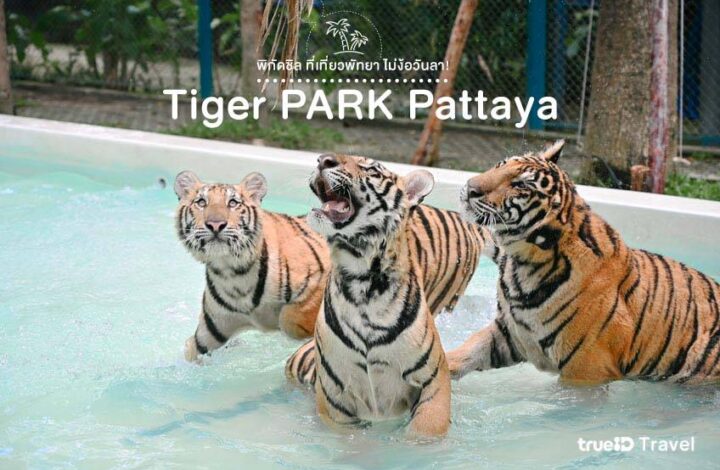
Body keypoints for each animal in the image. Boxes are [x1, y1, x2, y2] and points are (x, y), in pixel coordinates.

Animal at [174, 170, 330, 361]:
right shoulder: (209, 334)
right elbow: (190, 351)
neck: (232, 273)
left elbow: (289, 318)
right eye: (201, 202)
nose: (215, 224)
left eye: (233, 203)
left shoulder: (320, 279)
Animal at [288, 154, 490, 437]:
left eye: (371, 169)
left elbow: (426, 430)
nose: (322, 160)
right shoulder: (334, 397)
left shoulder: (434, 380)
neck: (362, 279)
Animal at [447, 140, 720, 385]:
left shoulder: (586, 366)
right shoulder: (510, 335)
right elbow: (463, 354)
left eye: (520, 184)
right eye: (500, 165)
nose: (470, 188)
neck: (522, 263)